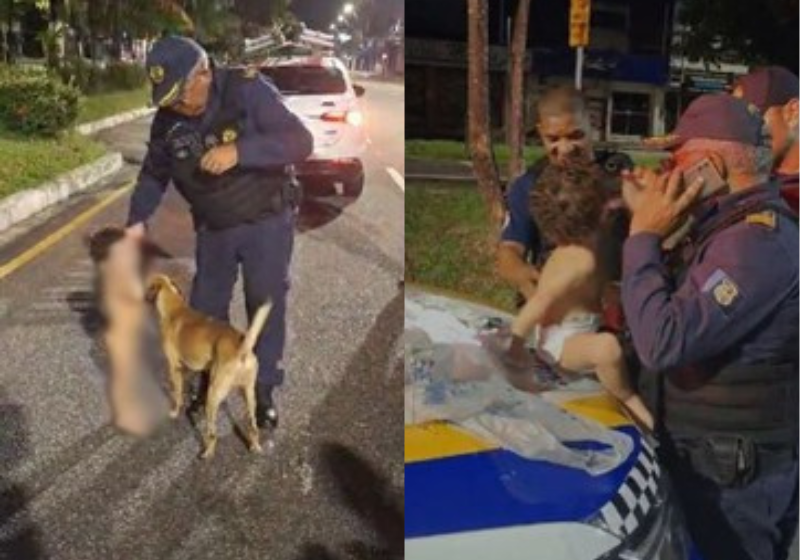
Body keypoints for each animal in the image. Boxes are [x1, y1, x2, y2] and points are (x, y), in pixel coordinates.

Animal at [144, 272, 268, 460]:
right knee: (253, 427)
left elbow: (177, 394)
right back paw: (255, 446)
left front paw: (174, 412)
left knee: (212, 433)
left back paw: (207, 453)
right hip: (248, 394)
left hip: (214, 395)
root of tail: (242, 349)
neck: (175, 308)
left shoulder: (174, 368)